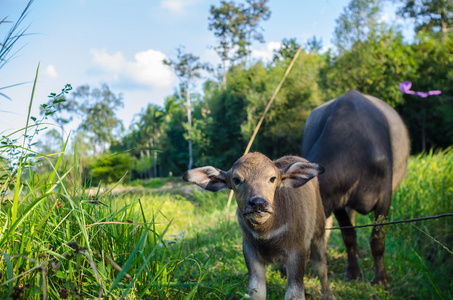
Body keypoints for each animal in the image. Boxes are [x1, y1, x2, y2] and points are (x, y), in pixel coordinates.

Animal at [182, 154, 334, 298]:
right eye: (236, 179)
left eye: (272, 178)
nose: (258, 203)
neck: (267, 232)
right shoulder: (250, 252)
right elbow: (257, 292)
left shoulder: (297, 251)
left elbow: (294, 294)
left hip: (318, 231)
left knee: (320, 265)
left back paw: (328, 294)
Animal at [300, 90, 410, 288]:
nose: (282, 268)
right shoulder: (336, 201)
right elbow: (348, 235)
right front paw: (353, 272)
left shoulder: (384, 198)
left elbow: (377, 239)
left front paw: (381, 279)